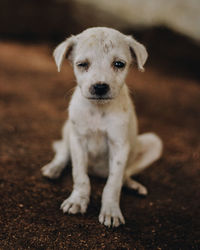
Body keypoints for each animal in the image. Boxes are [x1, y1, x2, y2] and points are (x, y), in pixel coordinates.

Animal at [41, 26, 163, 227]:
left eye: (119, 64)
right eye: (82, 64)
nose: (100, 87)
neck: (98, 109)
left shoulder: (120, 146)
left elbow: (113, 184)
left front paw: (111, 211)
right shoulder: (78, 140)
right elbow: (80, 176)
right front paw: (77, 201)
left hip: (153, 143)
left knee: (125, 173)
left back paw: (132, 184)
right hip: (68, 129)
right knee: (62, 152)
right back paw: (54, 168)